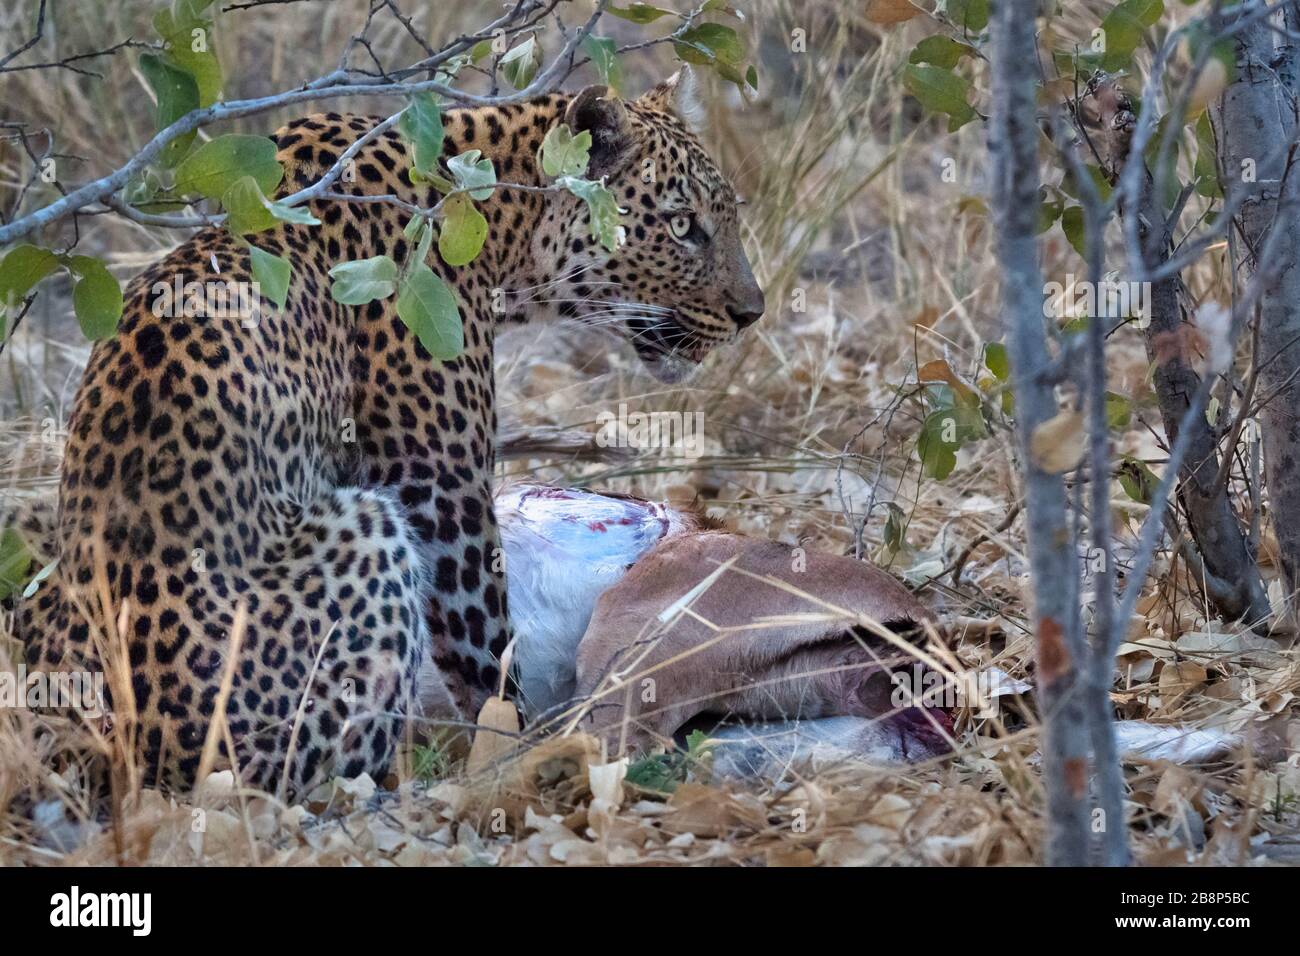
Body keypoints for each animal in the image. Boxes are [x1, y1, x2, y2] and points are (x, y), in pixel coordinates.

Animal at [7, 67, 759, 796]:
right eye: (683, 226)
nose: (752, 312)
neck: (498, 217)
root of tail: (120, 748)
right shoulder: (441, 488)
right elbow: (486, 648)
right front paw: (518, 746)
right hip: (363, 530)